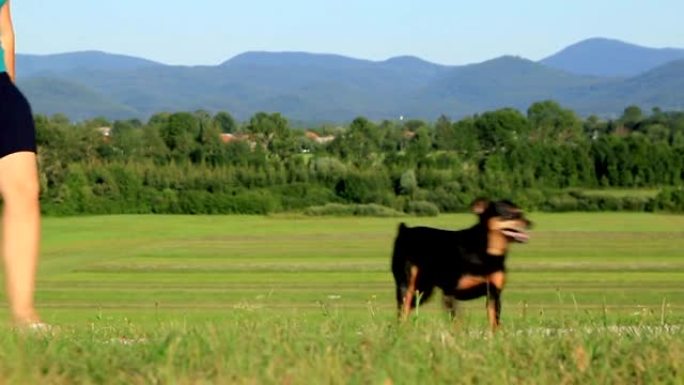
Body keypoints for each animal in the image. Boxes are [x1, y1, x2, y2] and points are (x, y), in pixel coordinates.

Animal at [390, 200, 528, 328]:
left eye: (521, 213)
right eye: (509, 215)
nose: (529, 223)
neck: (486, 252)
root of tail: (405, 230)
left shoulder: (494, 294)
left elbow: (494, 322)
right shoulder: (450, 292)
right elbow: (456, 321)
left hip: (423, 290)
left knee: (407, 309)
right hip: (407, 285)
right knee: (402, 310)